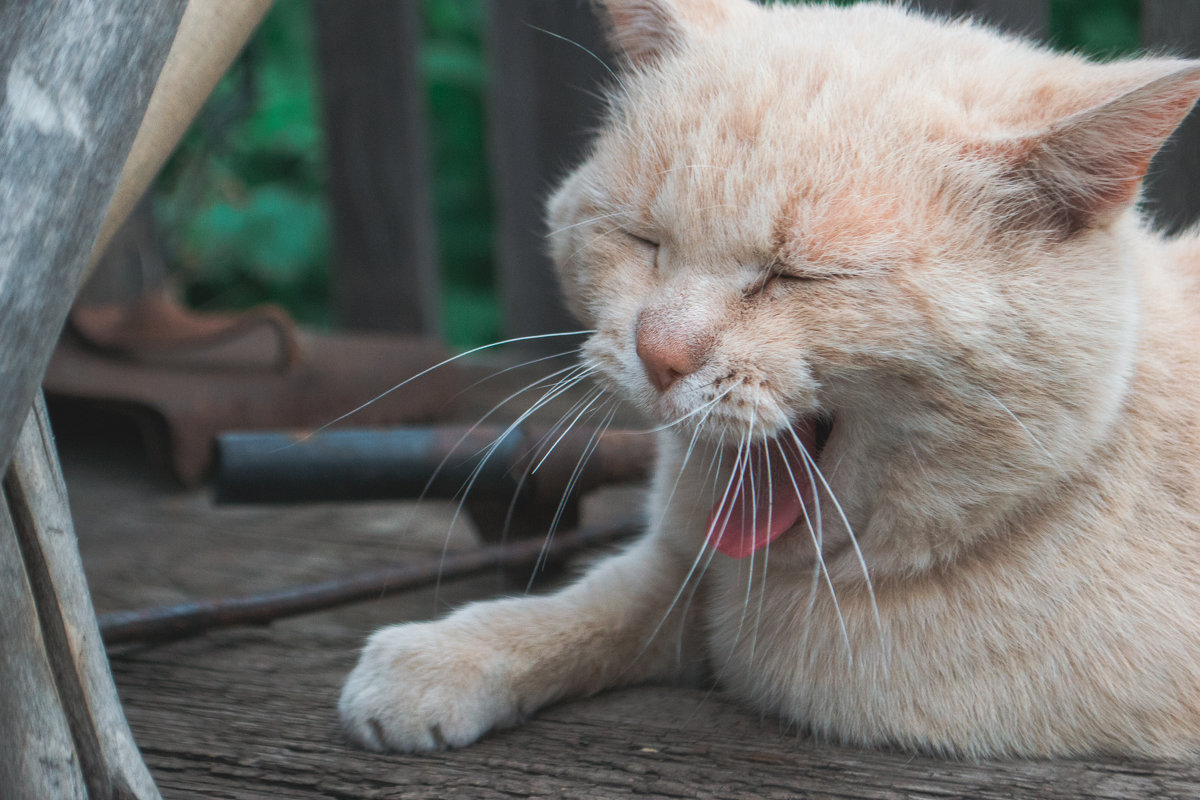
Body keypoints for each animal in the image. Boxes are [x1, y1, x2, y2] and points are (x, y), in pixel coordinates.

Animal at [333, 0, 1200, 758]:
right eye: (644, 241)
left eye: (795, 277)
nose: (659, 352)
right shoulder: (689, 569)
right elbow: (606, 597)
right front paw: (450, 656)